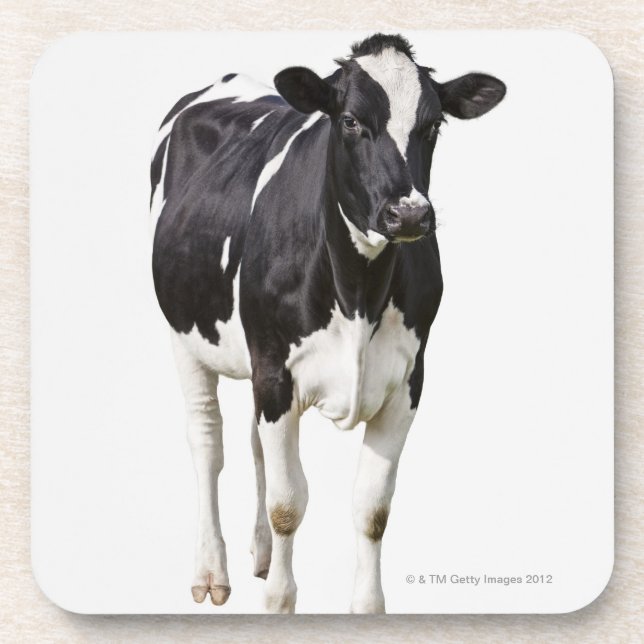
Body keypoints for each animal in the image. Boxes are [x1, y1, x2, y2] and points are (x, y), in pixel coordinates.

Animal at [150, 33, 505, 613]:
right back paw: (211, 571)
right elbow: (288, 503)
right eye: (351, 121)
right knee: (207, 441)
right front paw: (278, 602)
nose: (409, 214)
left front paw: (366, 607)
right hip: (184, 334)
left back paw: (261, 555)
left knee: (253, 445)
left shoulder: (408, 382)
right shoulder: (276, 372)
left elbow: (372, 508)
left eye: (433, 125)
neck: (358, 291)